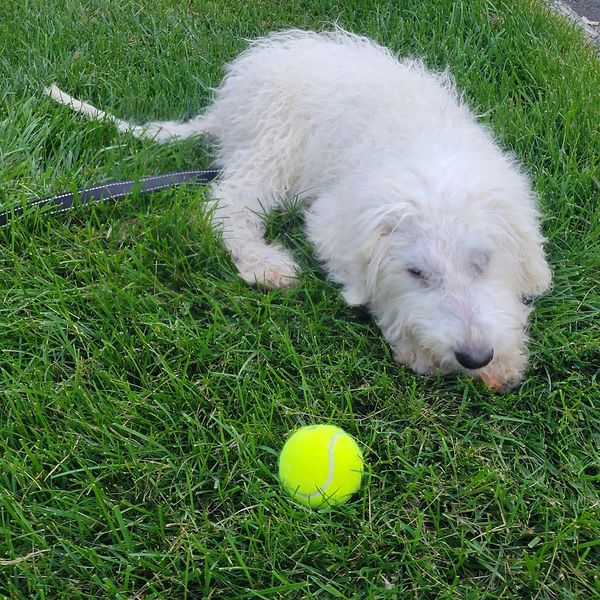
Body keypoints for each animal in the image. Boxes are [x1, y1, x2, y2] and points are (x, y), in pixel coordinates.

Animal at [48, 30, 552, 392]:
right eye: (415, 273)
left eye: (483, 262)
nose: (474, 356)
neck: (425, 156)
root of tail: (226, 104)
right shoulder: (333, 219)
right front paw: (419, 349)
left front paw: (503, 359)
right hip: (275, 145)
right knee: (226, 204)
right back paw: (264, 264)